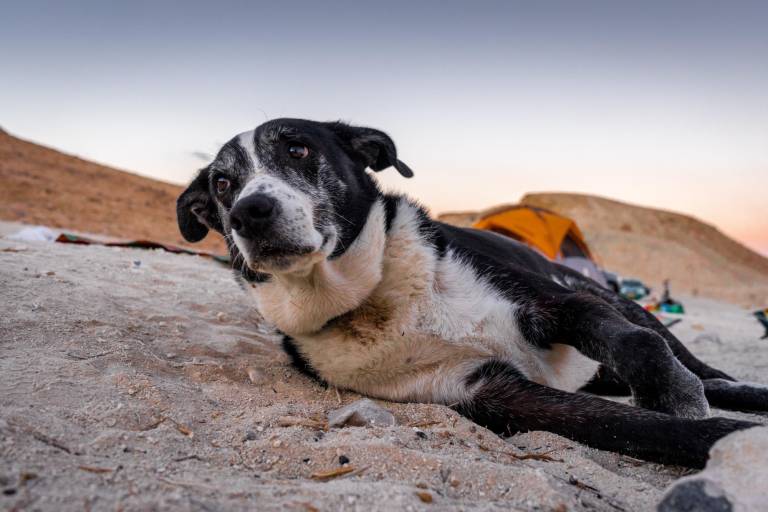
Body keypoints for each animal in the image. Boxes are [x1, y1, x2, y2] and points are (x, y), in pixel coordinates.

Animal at [177, 119, 764, 468]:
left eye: (297, 149)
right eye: (223, 184)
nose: (250, 212)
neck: (377, 298)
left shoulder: (560, 304)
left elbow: (638, 350)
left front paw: (674, 396)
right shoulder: (492, 393)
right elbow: (634, 427)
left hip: (619, 302)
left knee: (705, 370)